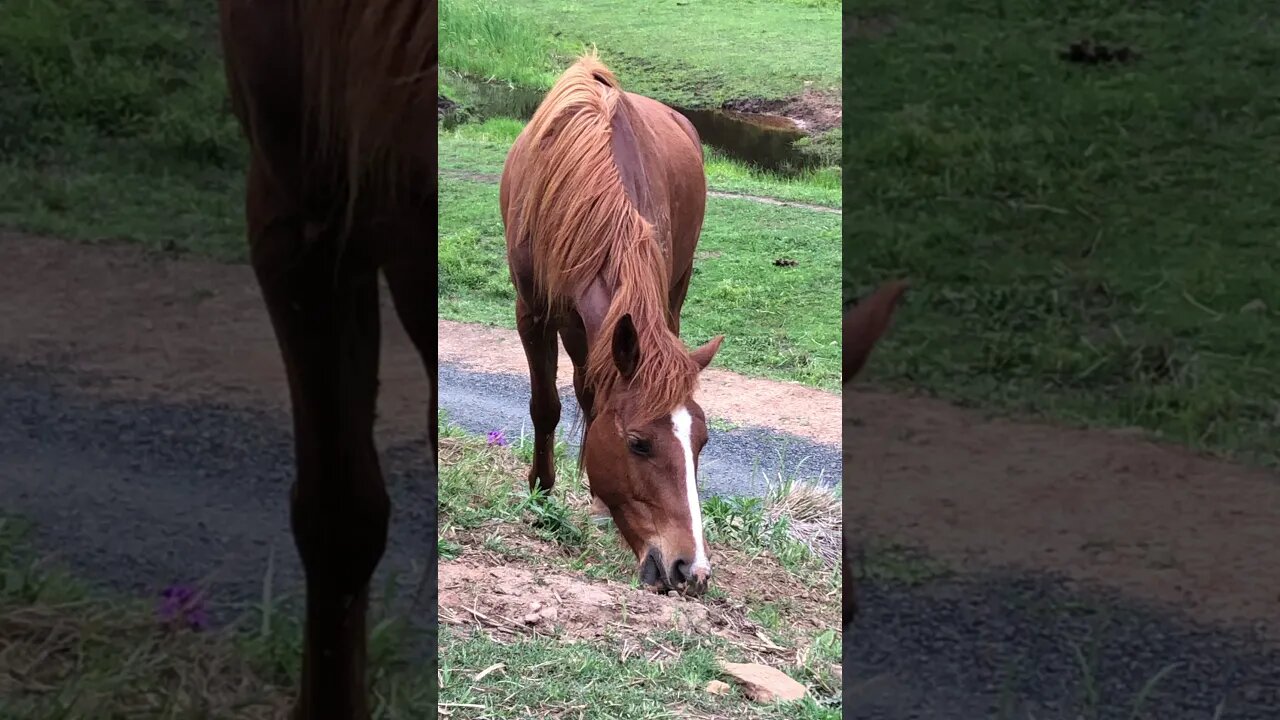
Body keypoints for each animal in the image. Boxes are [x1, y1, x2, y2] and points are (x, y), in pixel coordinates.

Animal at [499, 54, 727, 594]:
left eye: (702, 442)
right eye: (638, 444)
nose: (690, 570)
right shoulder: (534, 313)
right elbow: (546, 406)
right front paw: (541, 493)